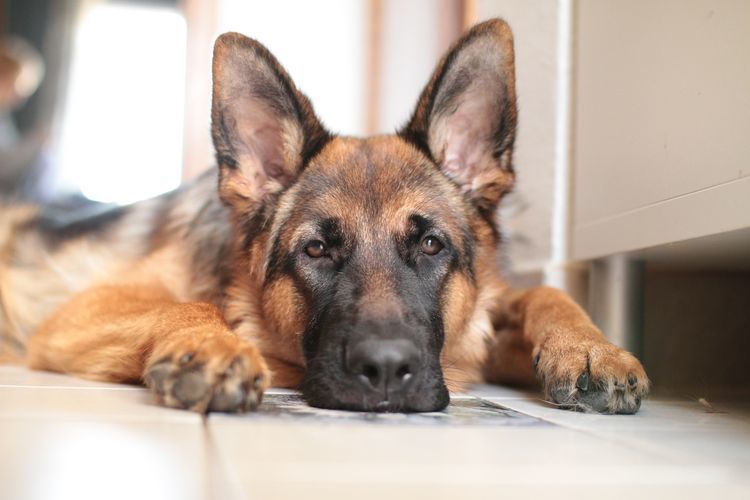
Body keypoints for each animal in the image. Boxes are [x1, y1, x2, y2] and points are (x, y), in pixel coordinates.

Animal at [0, 19, 648, 414]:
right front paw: (211, 343)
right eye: (315, 250)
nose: (385, 371)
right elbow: (188, 304)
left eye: (431, 246)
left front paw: (593, 348)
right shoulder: (78, 314)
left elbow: (543, 293)